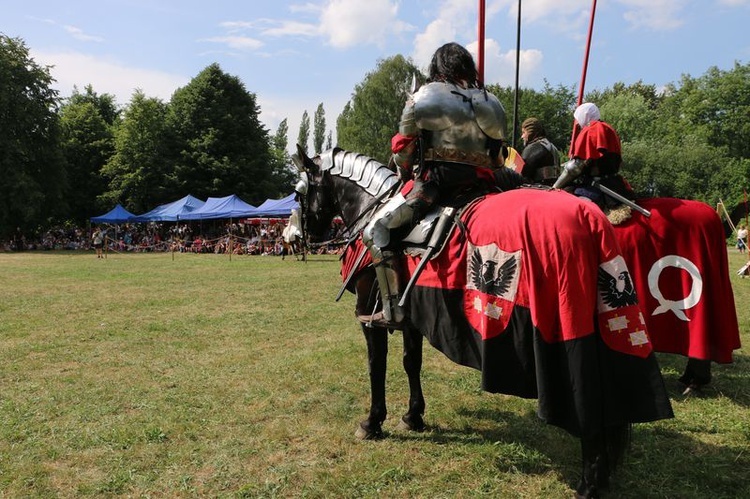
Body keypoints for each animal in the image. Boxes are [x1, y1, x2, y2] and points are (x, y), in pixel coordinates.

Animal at [296, 146, 676, 498]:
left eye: (299, 192)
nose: (303, 238)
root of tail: (592, 219)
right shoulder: (412, 318)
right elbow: (411, 363)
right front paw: (414, 416)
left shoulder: (369, 316)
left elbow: (376, 366)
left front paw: (373, 422)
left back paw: (588, 485)